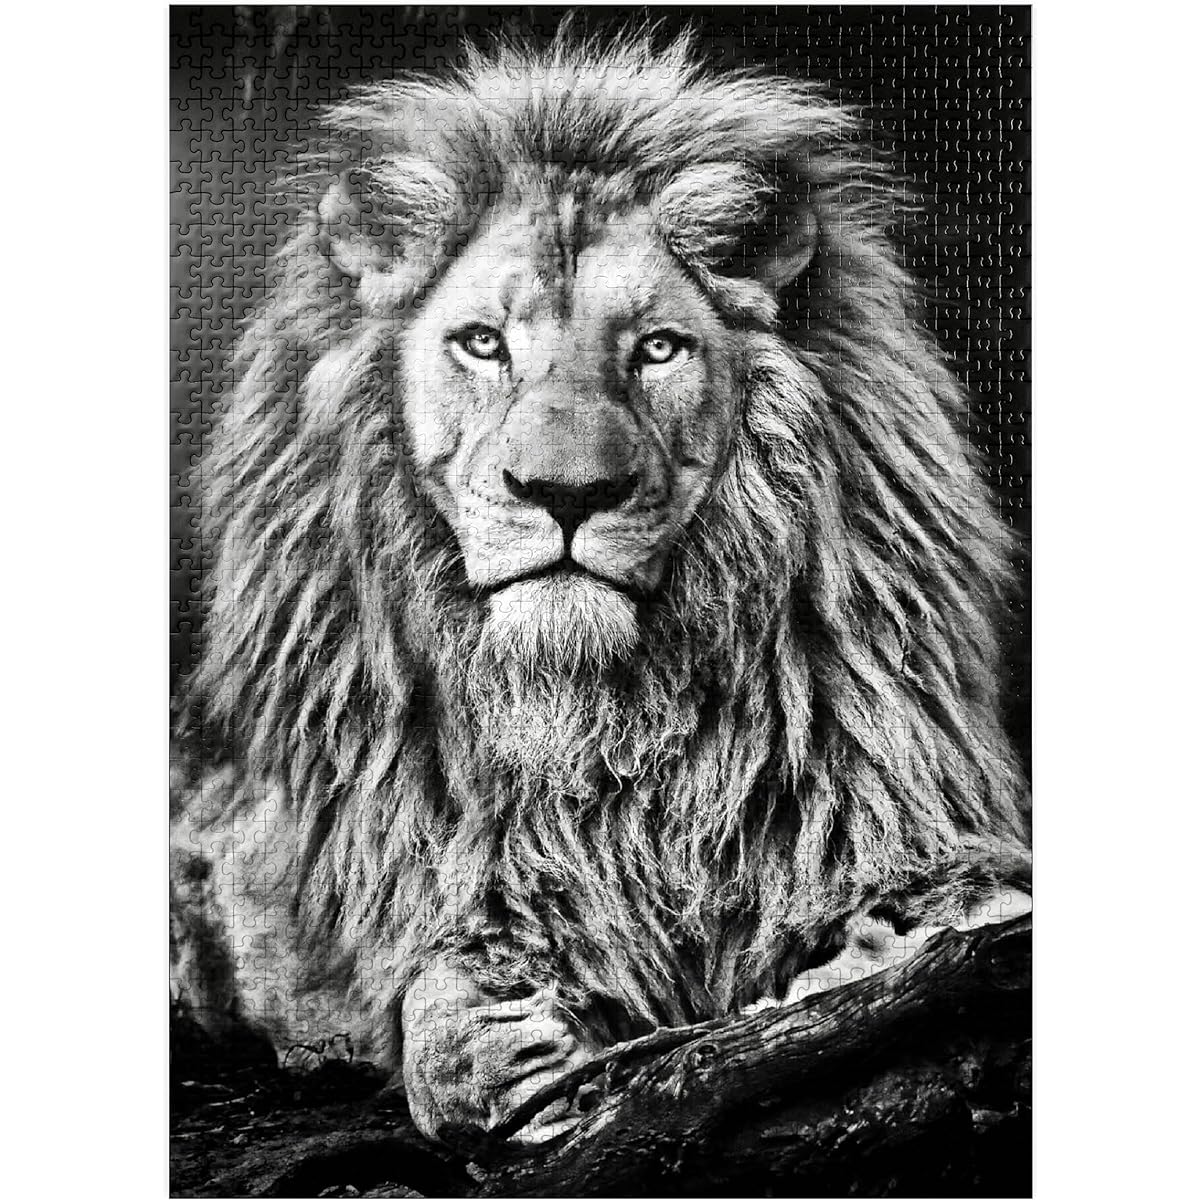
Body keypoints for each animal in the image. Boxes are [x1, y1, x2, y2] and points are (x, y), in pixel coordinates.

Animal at [171, 31, 1032, 1144]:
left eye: (657, 348)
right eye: (483, 342)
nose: (567, 493)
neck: (600, 720)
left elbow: (965, 911)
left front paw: (860, 958)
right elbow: (433, 1007)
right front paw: (510, 1047)